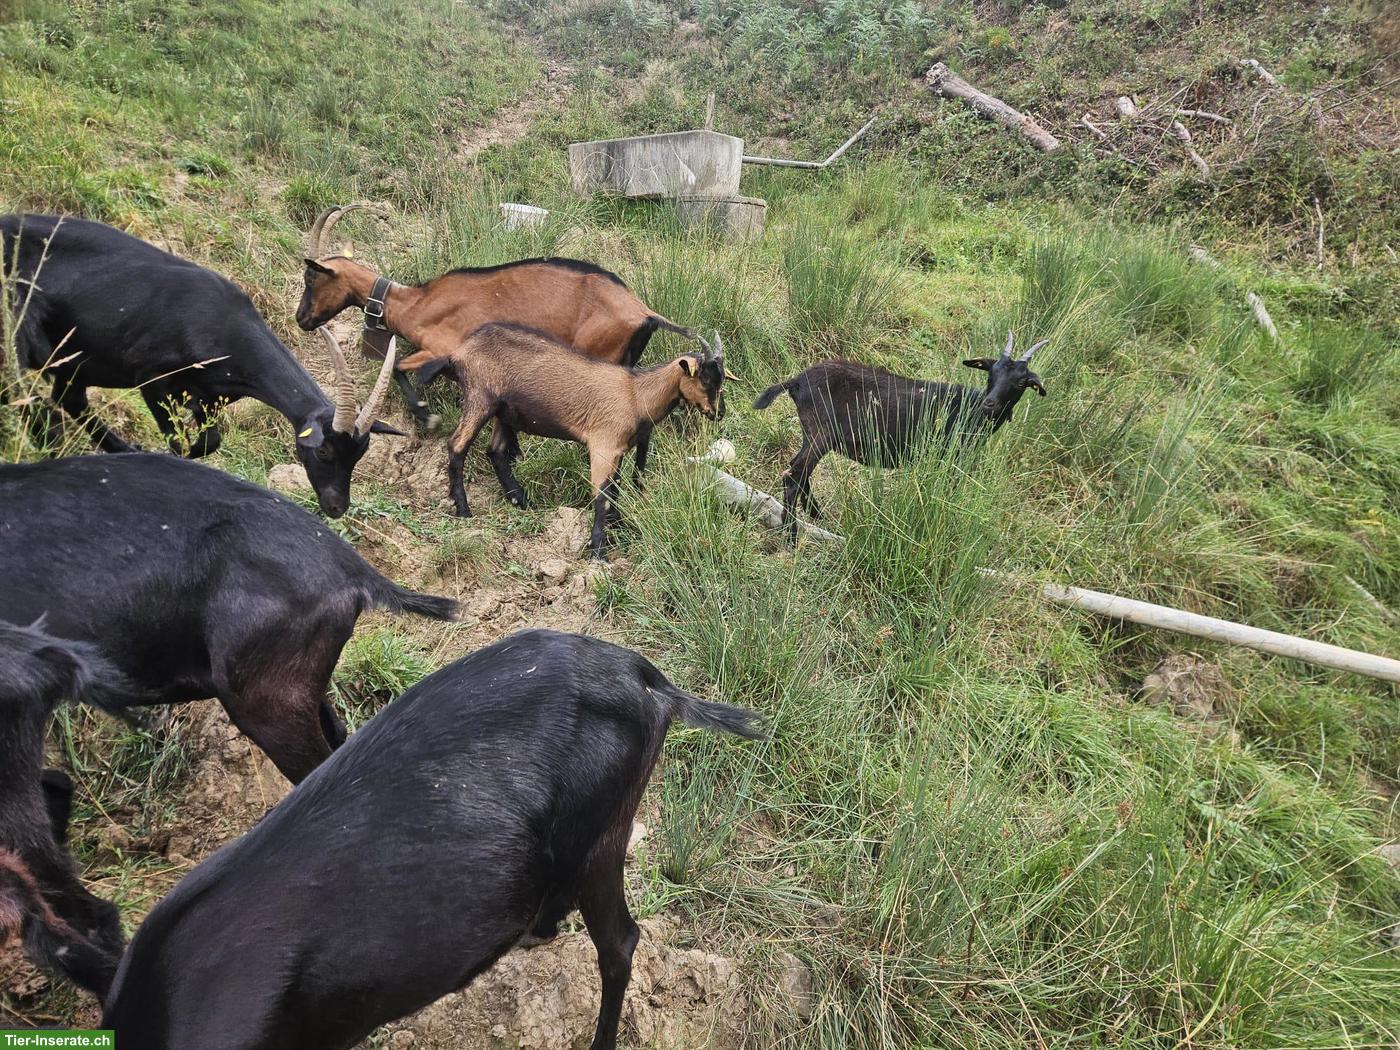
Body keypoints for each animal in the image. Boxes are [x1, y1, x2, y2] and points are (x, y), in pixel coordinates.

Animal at [0, 213, 403, 518]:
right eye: (324, 451)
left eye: (360, 454)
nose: (337, 507)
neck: (223, 327)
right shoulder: (153, 380)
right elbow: (179, 444)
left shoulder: (209, 398)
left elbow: (210, 441)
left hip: (78, 362)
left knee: (68, 399)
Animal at [296, 203, 715, 431]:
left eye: (311, 276)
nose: (302, 319)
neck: (414, 302)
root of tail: (641, 308)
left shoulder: (443, 347)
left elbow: (399, 366)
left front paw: (427, 418)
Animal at [398, 323, 725, 558]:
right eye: (705, 379)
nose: (718, 413)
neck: (635, 394)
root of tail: (459, 352)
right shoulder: (603, 445)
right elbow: (602, 496)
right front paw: (599, 551)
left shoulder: (619, 451)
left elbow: (615, 491)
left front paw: (618, 529)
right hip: (481, 397)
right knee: (457, 446)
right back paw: (464, 509)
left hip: (505, 412)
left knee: (496, 452)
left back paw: (521, 500)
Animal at [753, 331, 1048, 540]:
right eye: (991, 372)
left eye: (1021, 382)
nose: (990, 404)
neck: (969, 406)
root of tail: (796, 381)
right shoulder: (949, 457)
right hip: (820, 433)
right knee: (794, 475)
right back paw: (791, 536)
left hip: (813, 434)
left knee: (800, 473)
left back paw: (817, 515)